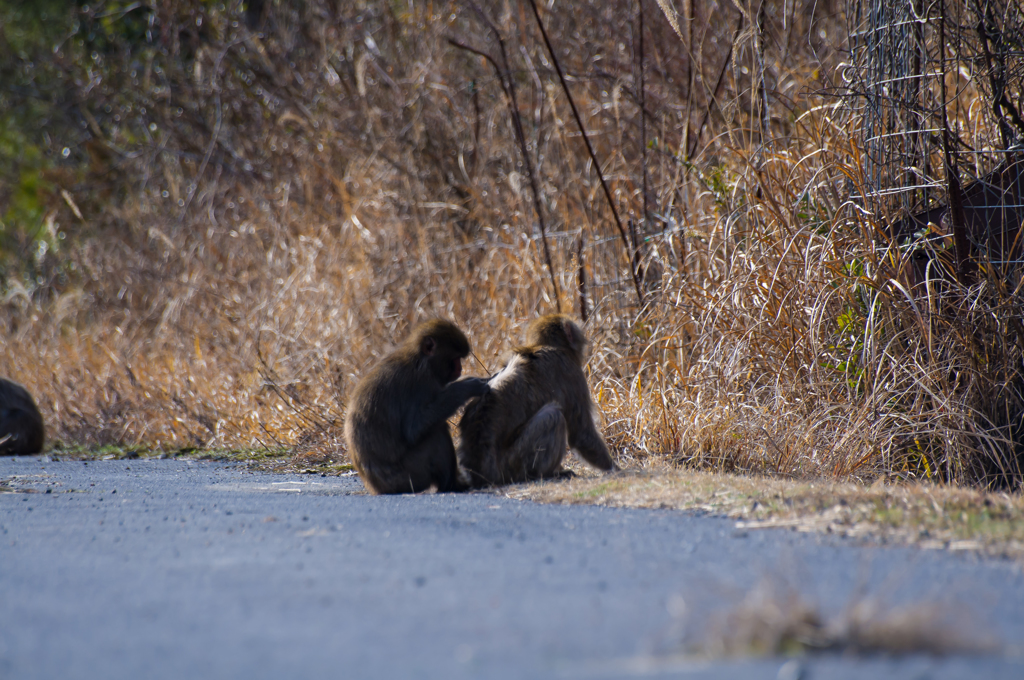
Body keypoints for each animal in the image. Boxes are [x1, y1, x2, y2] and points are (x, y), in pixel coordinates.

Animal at [344, 319, 487, 493]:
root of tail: (376, 487)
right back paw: (451, 485)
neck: (420, 360)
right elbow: (413, 429)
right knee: (436, 433)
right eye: (455, 359)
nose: (460, 369)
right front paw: (465, 387)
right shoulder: (421, 384)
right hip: (410, 477)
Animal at [456, 315, 614, 489]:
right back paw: (547, 474)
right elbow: (581, 433)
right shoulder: (570, 371)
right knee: (553, 416)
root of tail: (479, 473)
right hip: (513, 464)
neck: (543, 346)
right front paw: (615, 469)